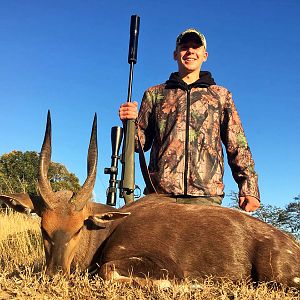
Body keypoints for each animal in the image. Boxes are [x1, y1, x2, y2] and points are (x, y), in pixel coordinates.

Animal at [0, 110, 300, 288]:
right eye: (43, 229)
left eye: (78, 229)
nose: (55, 275)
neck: (110, 229)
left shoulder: (164, 266)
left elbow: (107, 271)